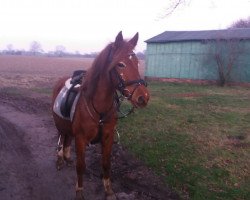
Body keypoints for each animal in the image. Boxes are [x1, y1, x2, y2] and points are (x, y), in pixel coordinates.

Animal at [50, 31, 148, 198]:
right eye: (120, 64)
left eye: (137, 62)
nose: (143, 97)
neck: (99, 109)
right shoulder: (81, 139)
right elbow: (81, 165)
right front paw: (79, 192)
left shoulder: (108, 138)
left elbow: (106, 164)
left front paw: (108, 190)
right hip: (60, 124)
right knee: (62, 138)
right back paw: (60, 159)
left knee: (67, 138)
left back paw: (67, 158)